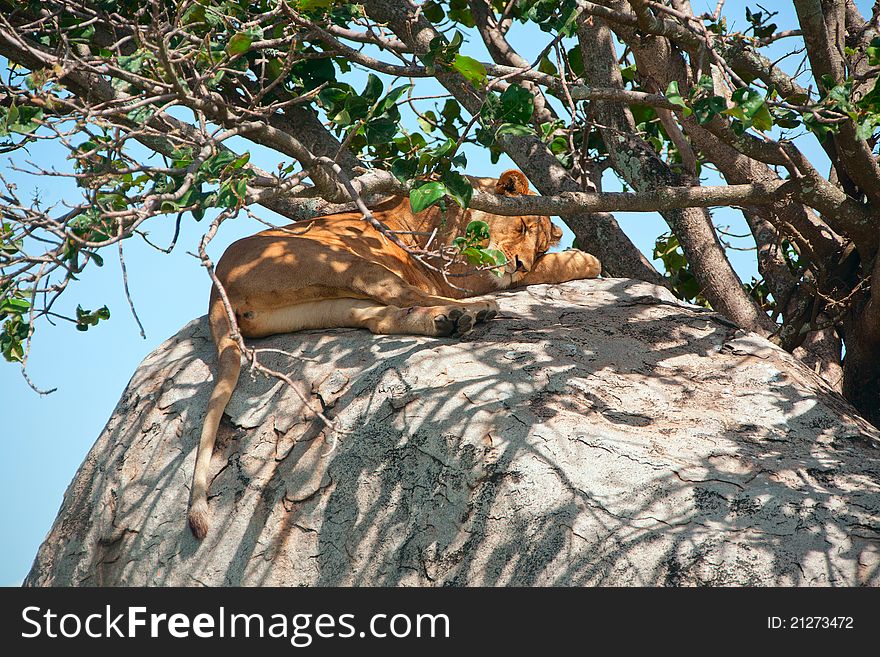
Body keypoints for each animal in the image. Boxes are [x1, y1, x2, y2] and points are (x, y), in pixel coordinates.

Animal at [185, 169, 600, 540]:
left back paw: (448, 321)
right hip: (344, 260)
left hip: (331, 303)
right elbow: (542, 271)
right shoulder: (465, 271)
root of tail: (216, 289)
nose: (521, 263)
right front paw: (585, 259)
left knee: (381, 318)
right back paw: (475, 310)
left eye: (539, 243)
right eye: (523, 227)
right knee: (407, 294)